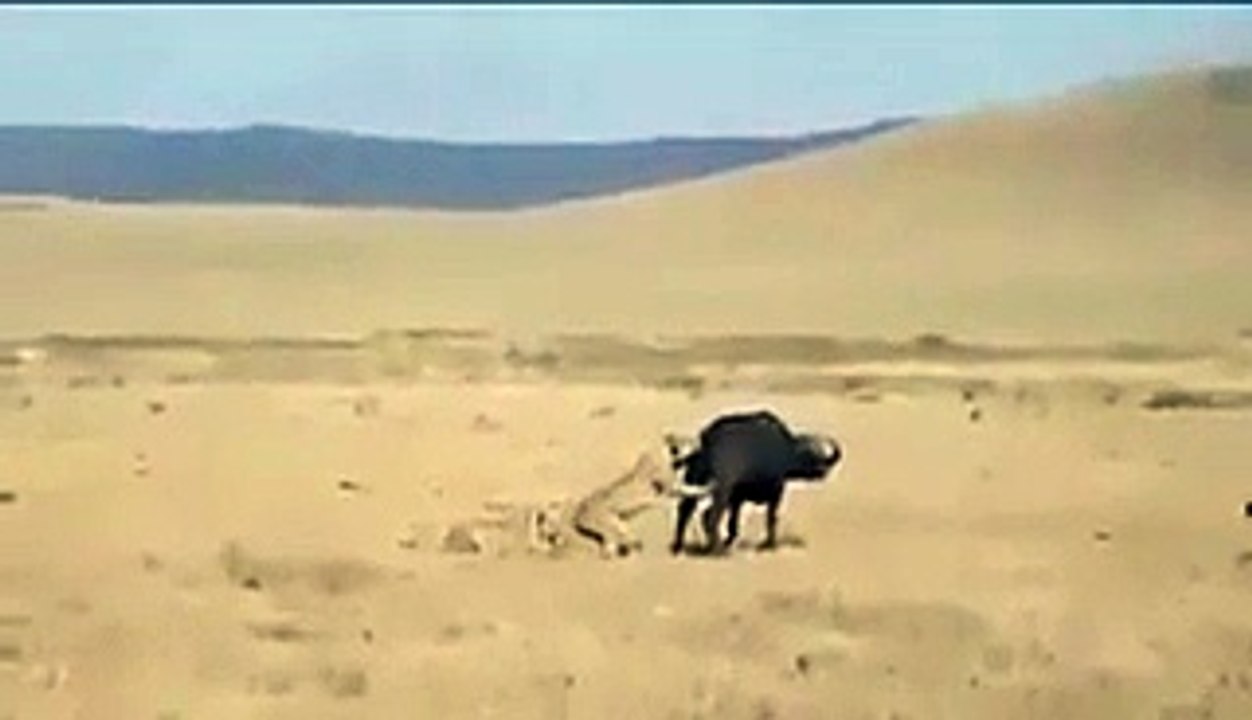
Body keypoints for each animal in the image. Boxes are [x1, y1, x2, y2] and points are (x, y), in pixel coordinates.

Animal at [665, 410, 842, 555]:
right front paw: (770, 544)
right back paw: (717, 550)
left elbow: (733, 523)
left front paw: (730, 540)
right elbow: (771, 518)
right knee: (710, 516)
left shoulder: (737, 498)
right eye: (810, 455)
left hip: (697, 478)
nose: (822, 471)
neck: (785, 448)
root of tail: (706, 441)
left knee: (685, 509)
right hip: (722, 490)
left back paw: (679, 546)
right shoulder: (776, 492)